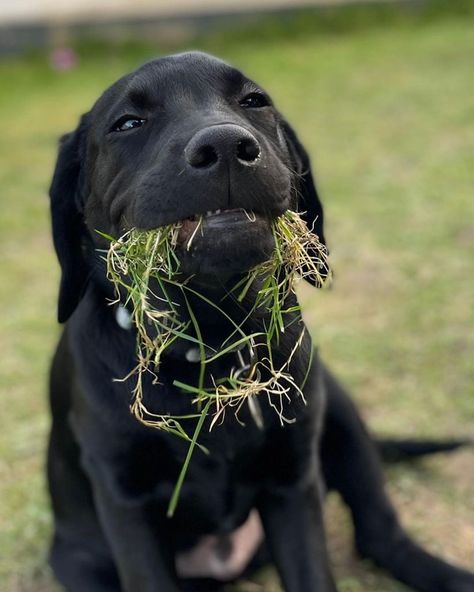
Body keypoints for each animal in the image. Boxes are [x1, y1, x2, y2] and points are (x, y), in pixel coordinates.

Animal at [46, 52, 472, 592]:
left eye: (253, 101)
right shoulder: (125, 500)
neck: (210, 345)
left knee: (379, 536)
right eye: (127, 123)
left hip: (335, 406)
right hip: (76, 559)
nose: (226, 146)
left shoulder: (292, 482)